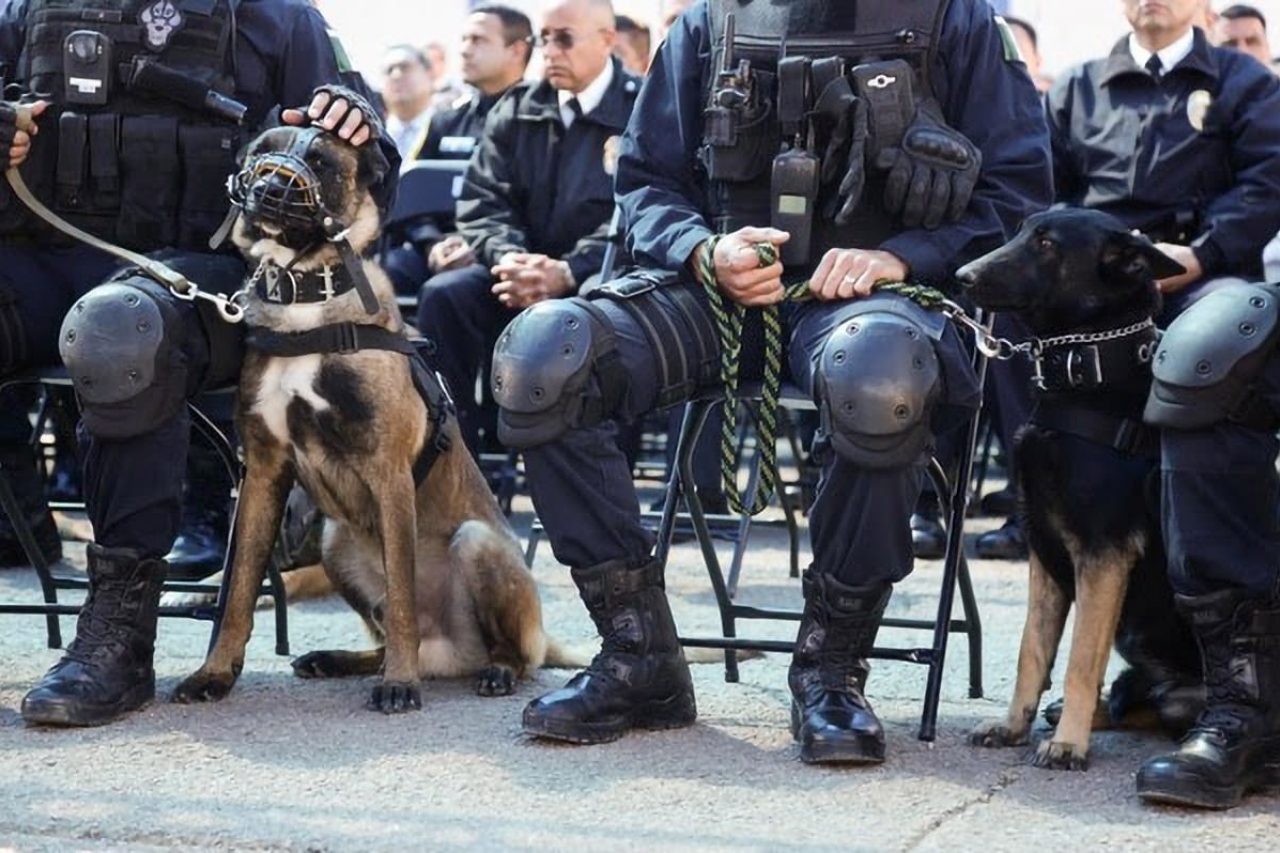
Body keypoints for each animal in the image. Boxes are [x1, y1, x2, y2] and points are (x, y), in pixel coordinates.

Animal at [168, 124, 555, 712]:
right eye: (260, 153)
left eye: (322, 160)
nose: (269, 188)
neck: (307, 303)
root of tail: (452, 655)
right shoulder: (262, 474)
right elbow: (237, 591)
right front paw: (214, 673)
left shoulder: (389, 473)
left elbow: (401, 598)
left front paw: (399, 683)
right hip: (337, 542)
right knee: (388, 632)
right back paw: (339, 660)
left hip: (477, 544)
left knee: (505, 651)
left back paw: (491, 671)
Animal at [957, 208, 1203, 768]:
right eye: (1023, 232)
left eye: (1047, 244)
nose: (962, 276)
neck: (1087, 365)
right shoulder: (1045, 553)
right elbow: (1032, 650)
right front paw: (1014, 725)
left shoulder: (1103, 556)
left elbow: (1080, 659)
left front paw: (1069, 744)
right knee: (1141, 698)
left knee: (1163, 703)